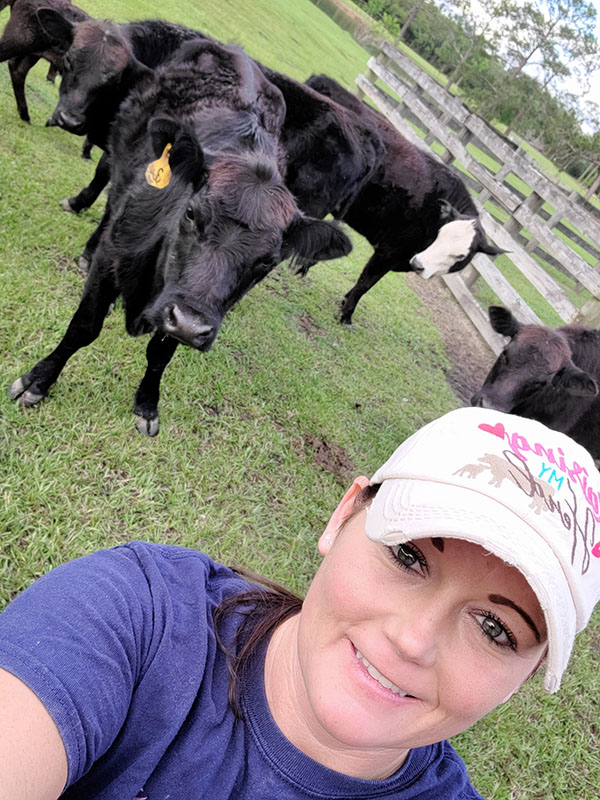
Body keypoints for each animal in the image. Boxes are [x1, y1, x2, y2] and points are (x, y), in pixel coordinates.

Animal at [7, 36, 350, 438]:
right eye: (191, 214)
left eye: (268, 261)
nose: (188, 323)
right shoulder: (116, 257)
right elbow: (84, 326)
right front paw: (37, 381)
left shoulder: (191, 304)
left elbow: (161, 353)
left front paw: (146, 404)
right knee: (108, 184)